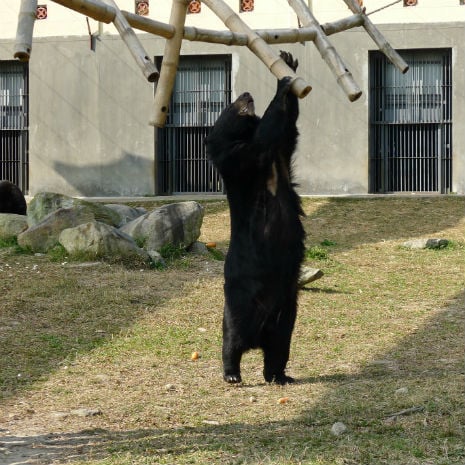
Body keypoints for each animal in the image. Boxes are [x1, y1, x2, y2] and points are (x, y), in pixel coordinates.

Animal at [207, 51, 304, 384]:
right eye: (235, 103)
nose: (247, 93)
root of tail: (258, 335)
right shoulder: (240, 160)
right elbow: (266, 137)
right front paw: (283, 83)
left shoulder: (280, 157)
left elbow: (288, 134)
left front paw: (289, 61)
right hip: (239, 303)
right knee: (231, 338)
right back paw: (231, 373)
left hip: (287, 312)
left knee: (279, 348)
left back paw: (280, 375)